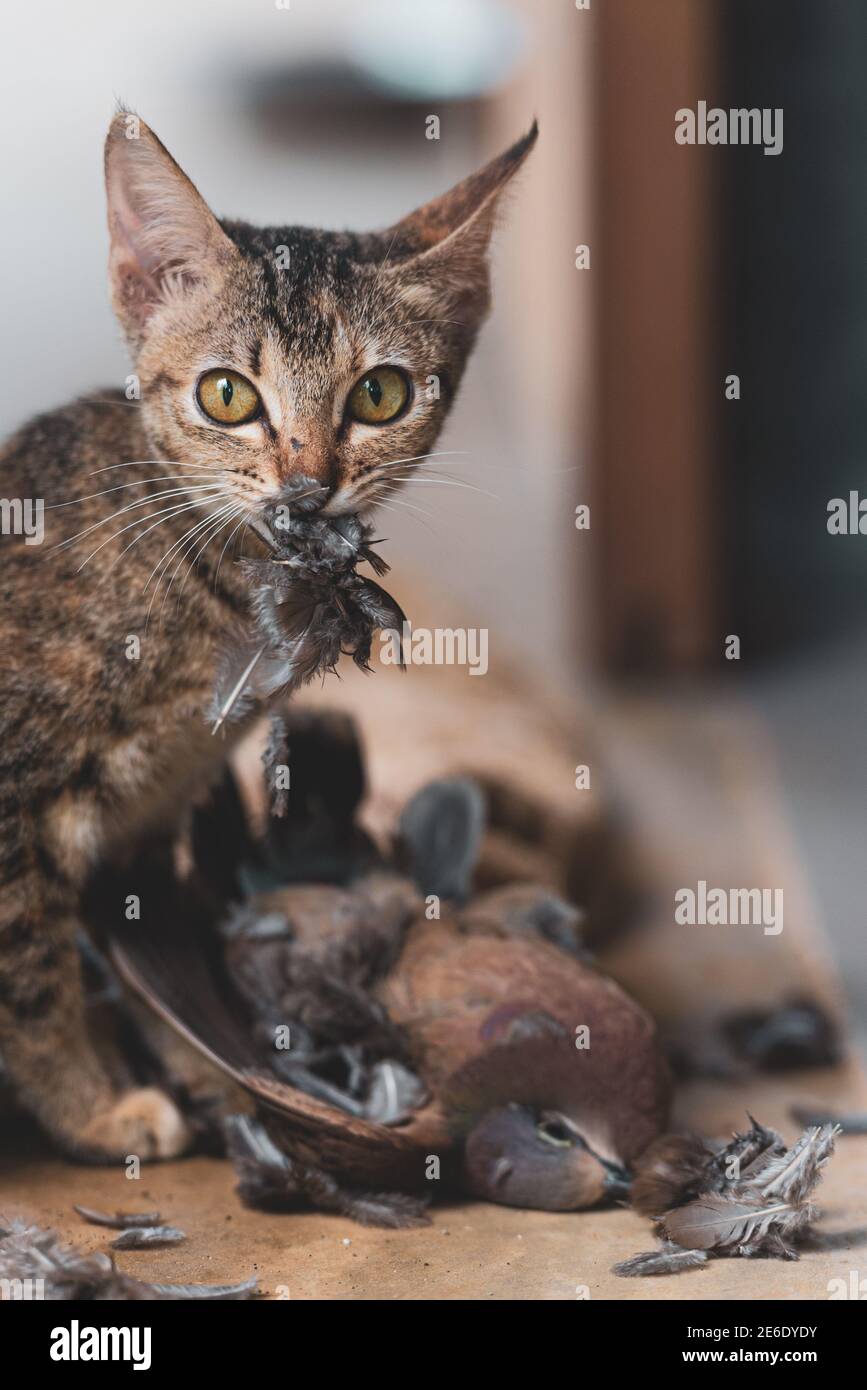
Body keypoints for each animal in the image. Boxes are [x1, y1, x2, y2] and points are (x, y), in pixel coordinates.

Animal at [0, 108, 536, 1156]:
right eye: (227, 396)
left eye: (378, 395)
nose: (308, 483)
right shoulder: (14, 806)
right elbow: (31, 978)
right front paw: (94, 1106)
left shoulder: (149, 813)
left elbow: (145, 940)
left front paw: (189, 1063)